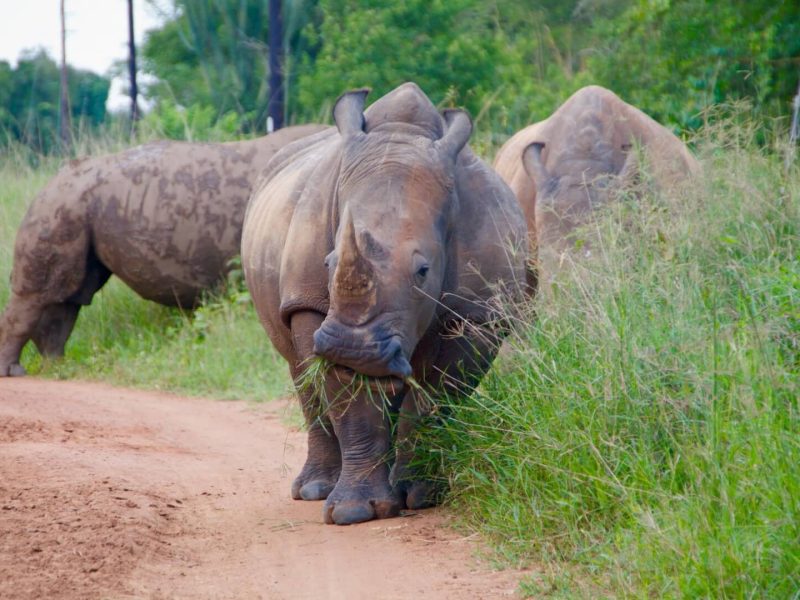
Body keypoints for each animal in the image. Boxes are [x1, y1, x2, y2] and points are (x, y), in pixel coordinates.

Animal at [0, 124, 326, 377]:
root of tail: (53, 178)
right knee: (43, 293)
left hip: (75, 205)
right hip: (62, 203)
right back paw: (16, 372)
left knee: (71, 295)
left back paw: (57, 367)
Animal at [241, 83, 529, 525]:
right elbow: (349, 399)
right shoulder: (311, 304)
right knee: (302, 372)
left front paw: (423, 495)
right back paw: (314, 490)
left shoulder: (478, 315)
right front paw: (354, 511)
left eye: (423, 271)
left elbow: (435, 399)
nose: (353, 348)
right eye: (328, 263)